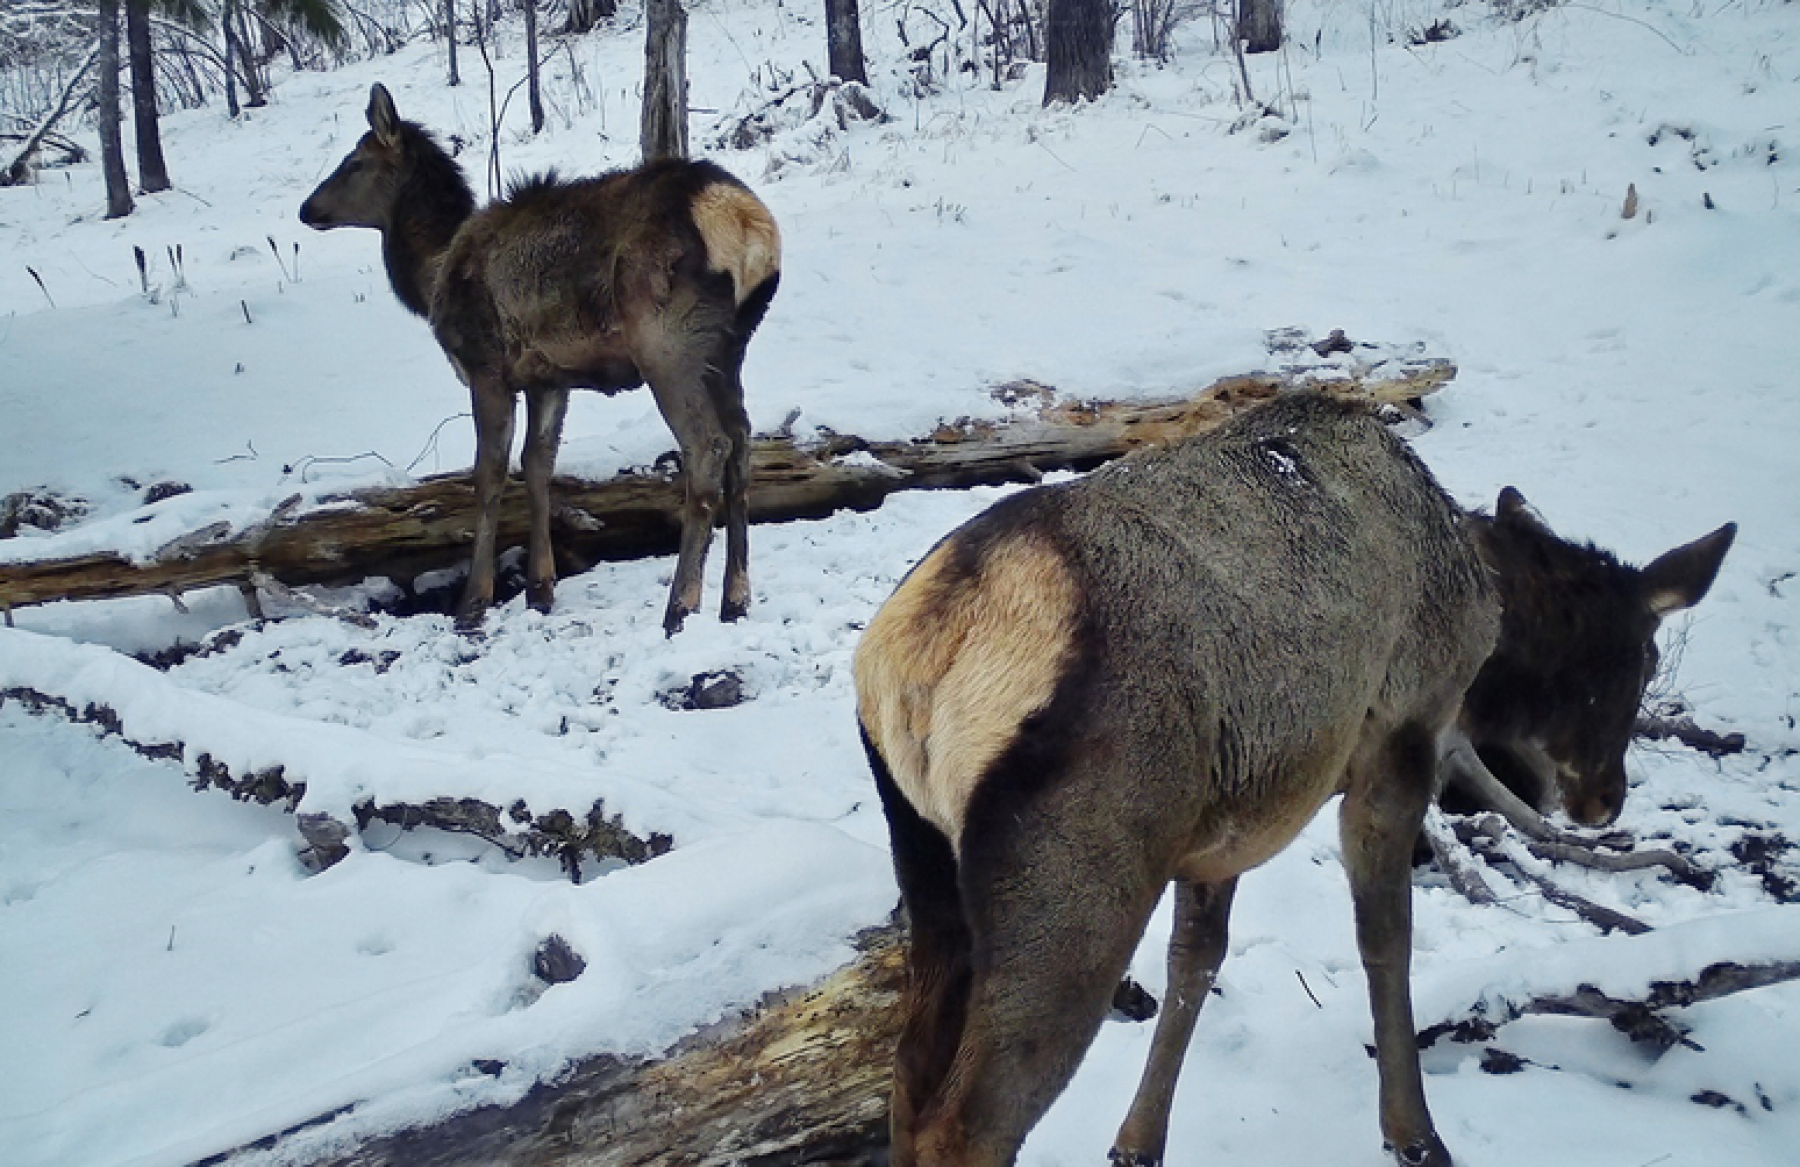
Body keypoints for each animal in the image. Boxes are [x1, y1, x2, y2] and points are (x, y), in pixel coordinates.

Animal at [302, 83, 781, 633]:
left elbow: (489, 474)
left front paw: (473, 602)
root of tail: (747, 224)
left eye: (354, 162)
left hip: (666, 343)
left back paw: (680, 606)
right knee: (742, 443)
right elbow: (537, 465)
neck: (433, 275)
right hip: (729, 347)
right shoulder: (548, 377)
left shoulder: (486, 367)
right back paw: (736, 600)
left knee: (708, 447)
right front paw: (540, 589)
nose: (306, 208)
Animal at [853, 394, 1728, 1167]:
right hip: (1079, 862)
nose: (1605, 798)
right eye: (1640, 660)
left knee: (907, 1080)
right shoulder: (1400, 735)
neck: (1486, 621)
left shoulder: (1228, 816)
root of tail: (934, 637)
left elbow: (1196, 960)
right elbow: (1385, 940)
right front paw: (1414, 1135)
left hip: (926, 853)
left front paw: (1139, 1143)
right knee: (969, 1122)